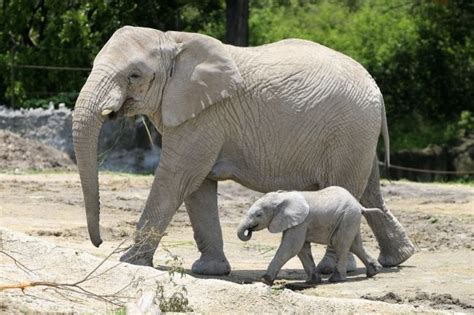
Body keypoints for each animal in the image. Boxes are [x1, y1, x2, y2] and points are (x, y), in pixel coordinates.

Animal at [71, 25, 414, 276]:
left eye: (134, 76)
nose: (99, 243)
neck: (173, 41)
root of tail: (375, 87)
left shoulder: (205, 116)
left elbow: (176, 178)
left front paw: (128, 261)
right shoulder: (199, 116)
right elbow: (198, 187)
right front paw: (209, 271)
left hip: (349, 130)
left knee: (345, 186)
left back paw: (334, 268)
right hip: (358, 134)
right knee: (369, 190)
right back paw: (395, 259)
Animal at [239, 188, 384, 286]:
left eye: (258, 214)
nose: (249, 231)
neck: (282, 197)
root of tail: (360, 206)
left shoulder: (301, 222)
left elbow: (291, 248)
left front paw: (265, 280)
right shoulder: (296, 222)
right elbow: (302, 249)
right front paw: (312, 281)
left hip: (348, 217)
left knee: (340, 244)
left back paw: (336, 279)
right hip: (350, 218)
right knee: (355, 245)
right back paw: (374, 271)